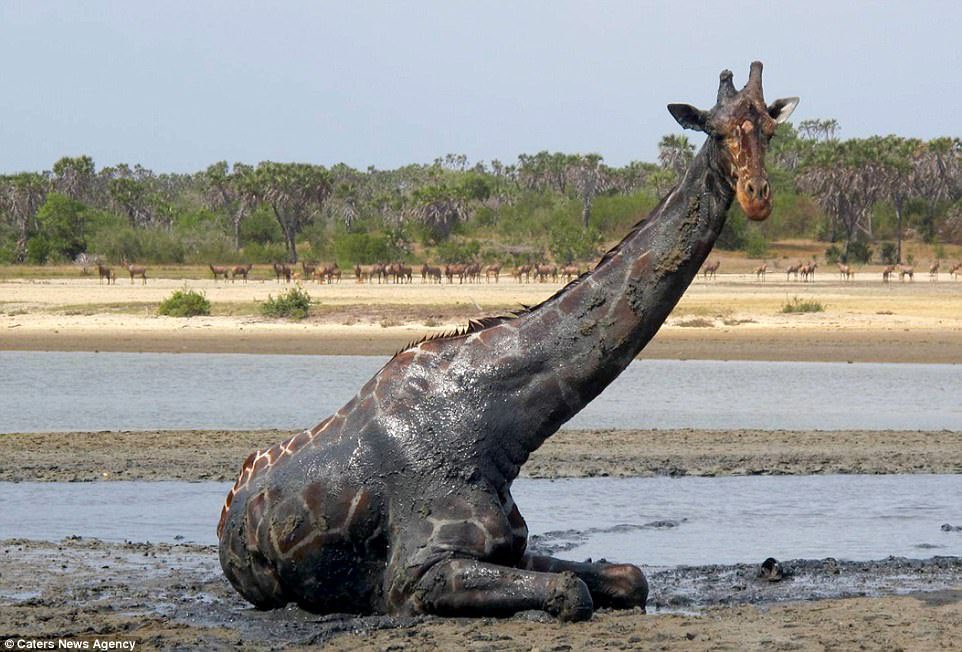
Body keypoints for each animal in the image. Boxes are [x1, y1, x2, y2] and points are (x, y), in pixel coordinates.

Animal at [218, 62, 797, 622]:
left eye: (770, 130)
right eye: (716, 130)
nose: (757, 197)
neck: (494, 427)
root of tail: (229, 513)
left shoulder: (513, 547)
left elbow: (631, 577)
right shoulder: (414, 576)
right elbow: (572, 593)